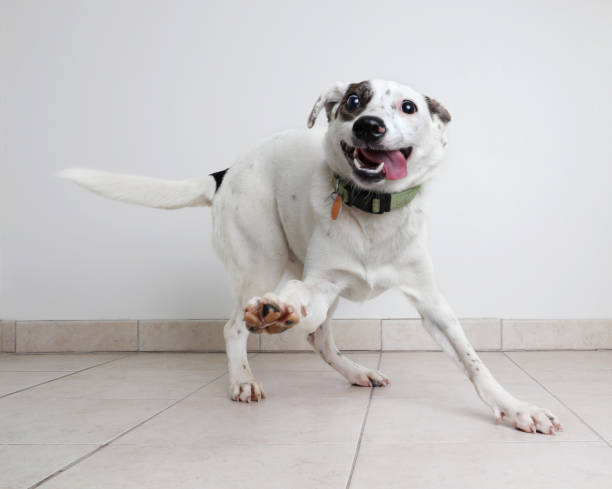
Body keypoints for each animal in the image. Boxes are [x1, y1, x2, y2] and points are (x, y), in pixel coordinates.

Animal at [59, 80, 560, 434]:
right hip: (261, 259)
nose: (368, 125)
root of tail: (227, 170)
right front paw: (277, 311)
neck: (372, 210)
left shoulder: (432, 302)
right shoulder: (320, 282)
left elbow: (474, 362)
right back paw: (245, 374)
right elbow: (297, 302)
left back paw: (355, 371)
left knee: (318, 336)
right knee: (237, 326)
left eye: (408, 107)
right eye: (354, 100)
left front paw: (518, 408)